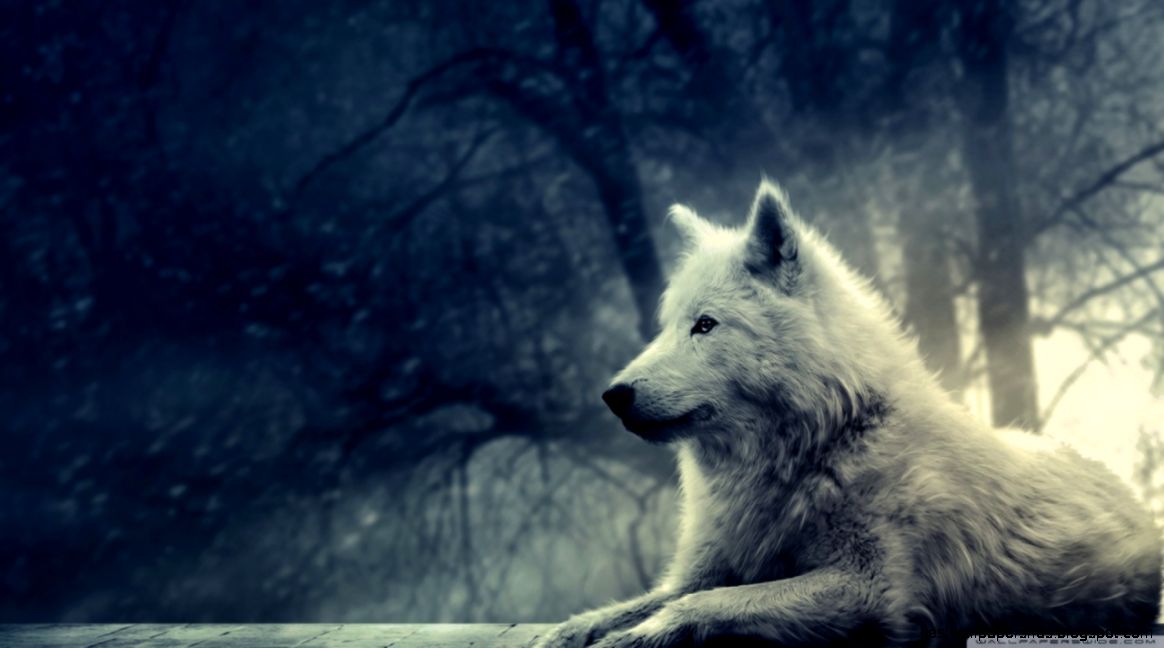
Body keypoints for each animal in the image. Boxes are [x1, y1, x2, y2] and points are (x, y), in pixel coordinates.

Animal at [537, 182, 1161, 647]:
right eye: (667, 326)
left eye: (706, 325)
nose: (613, 394)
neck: (824, 442)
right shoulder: (704, 567)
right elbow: (632, 605)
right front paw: (568, 632)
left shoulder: (870, 588)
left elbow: (704, 604)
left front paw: (638, 635)